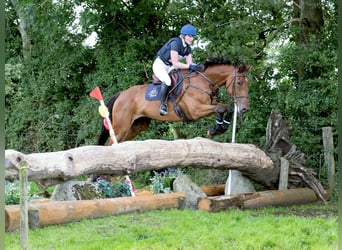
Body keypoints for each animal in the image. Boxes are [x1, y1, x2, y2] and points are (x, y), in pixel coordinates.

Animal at [98, 57, 251, 145]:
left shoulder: (209, 104)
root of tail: (121, 94)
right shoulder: (196, 110)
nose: (244, 109)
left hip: (137, 126)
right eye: (239, 83)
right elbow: (220, 108)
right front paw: (215, 129)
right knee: (111, 143)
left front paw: (220, 128)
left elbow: (227, 108)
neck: (203, 81)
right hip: (121, 126)